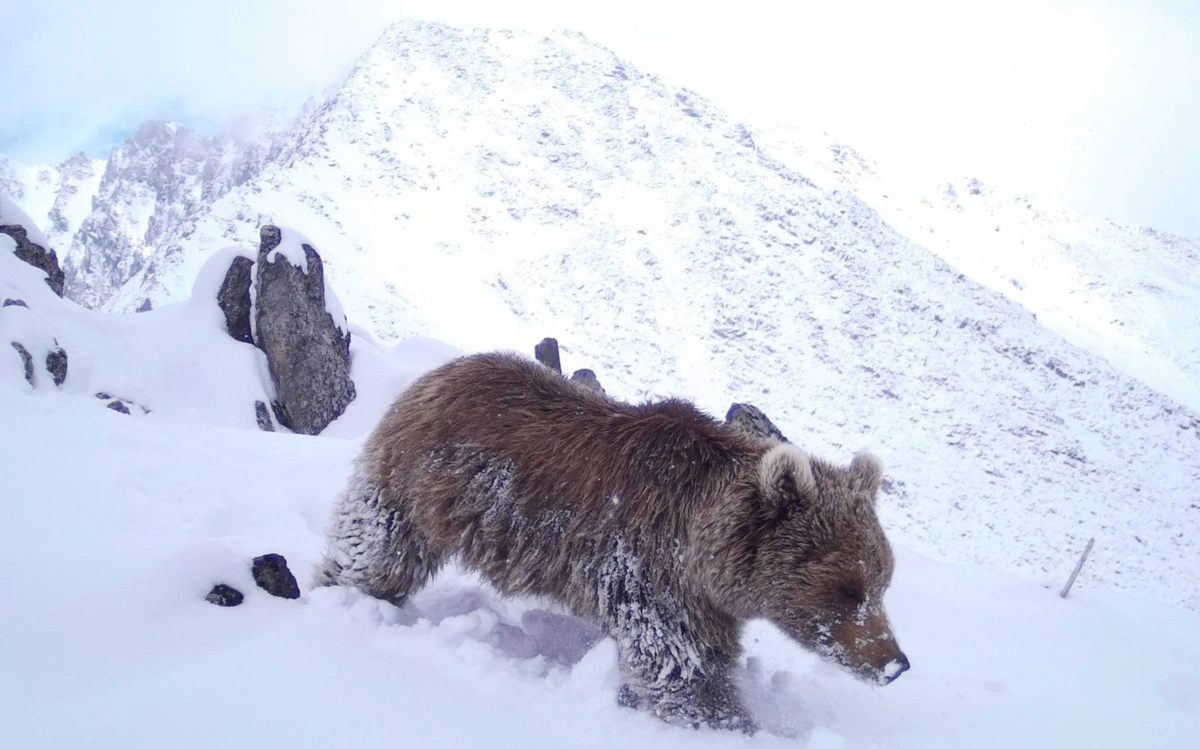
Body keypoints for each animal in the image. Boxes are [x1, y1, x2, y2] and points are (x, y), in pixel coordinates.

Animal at [314, 351, 908, 732]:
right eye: (848, 589)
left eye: (883, 583)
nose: (895, 663)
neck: (708, 558)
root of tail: (437, 373)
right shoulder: (656, 574)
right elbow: (682, 671)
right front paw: (729, 721)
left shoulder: (705, 602)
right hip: (418, 485)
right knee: (377, 550)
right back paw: (342, 593)